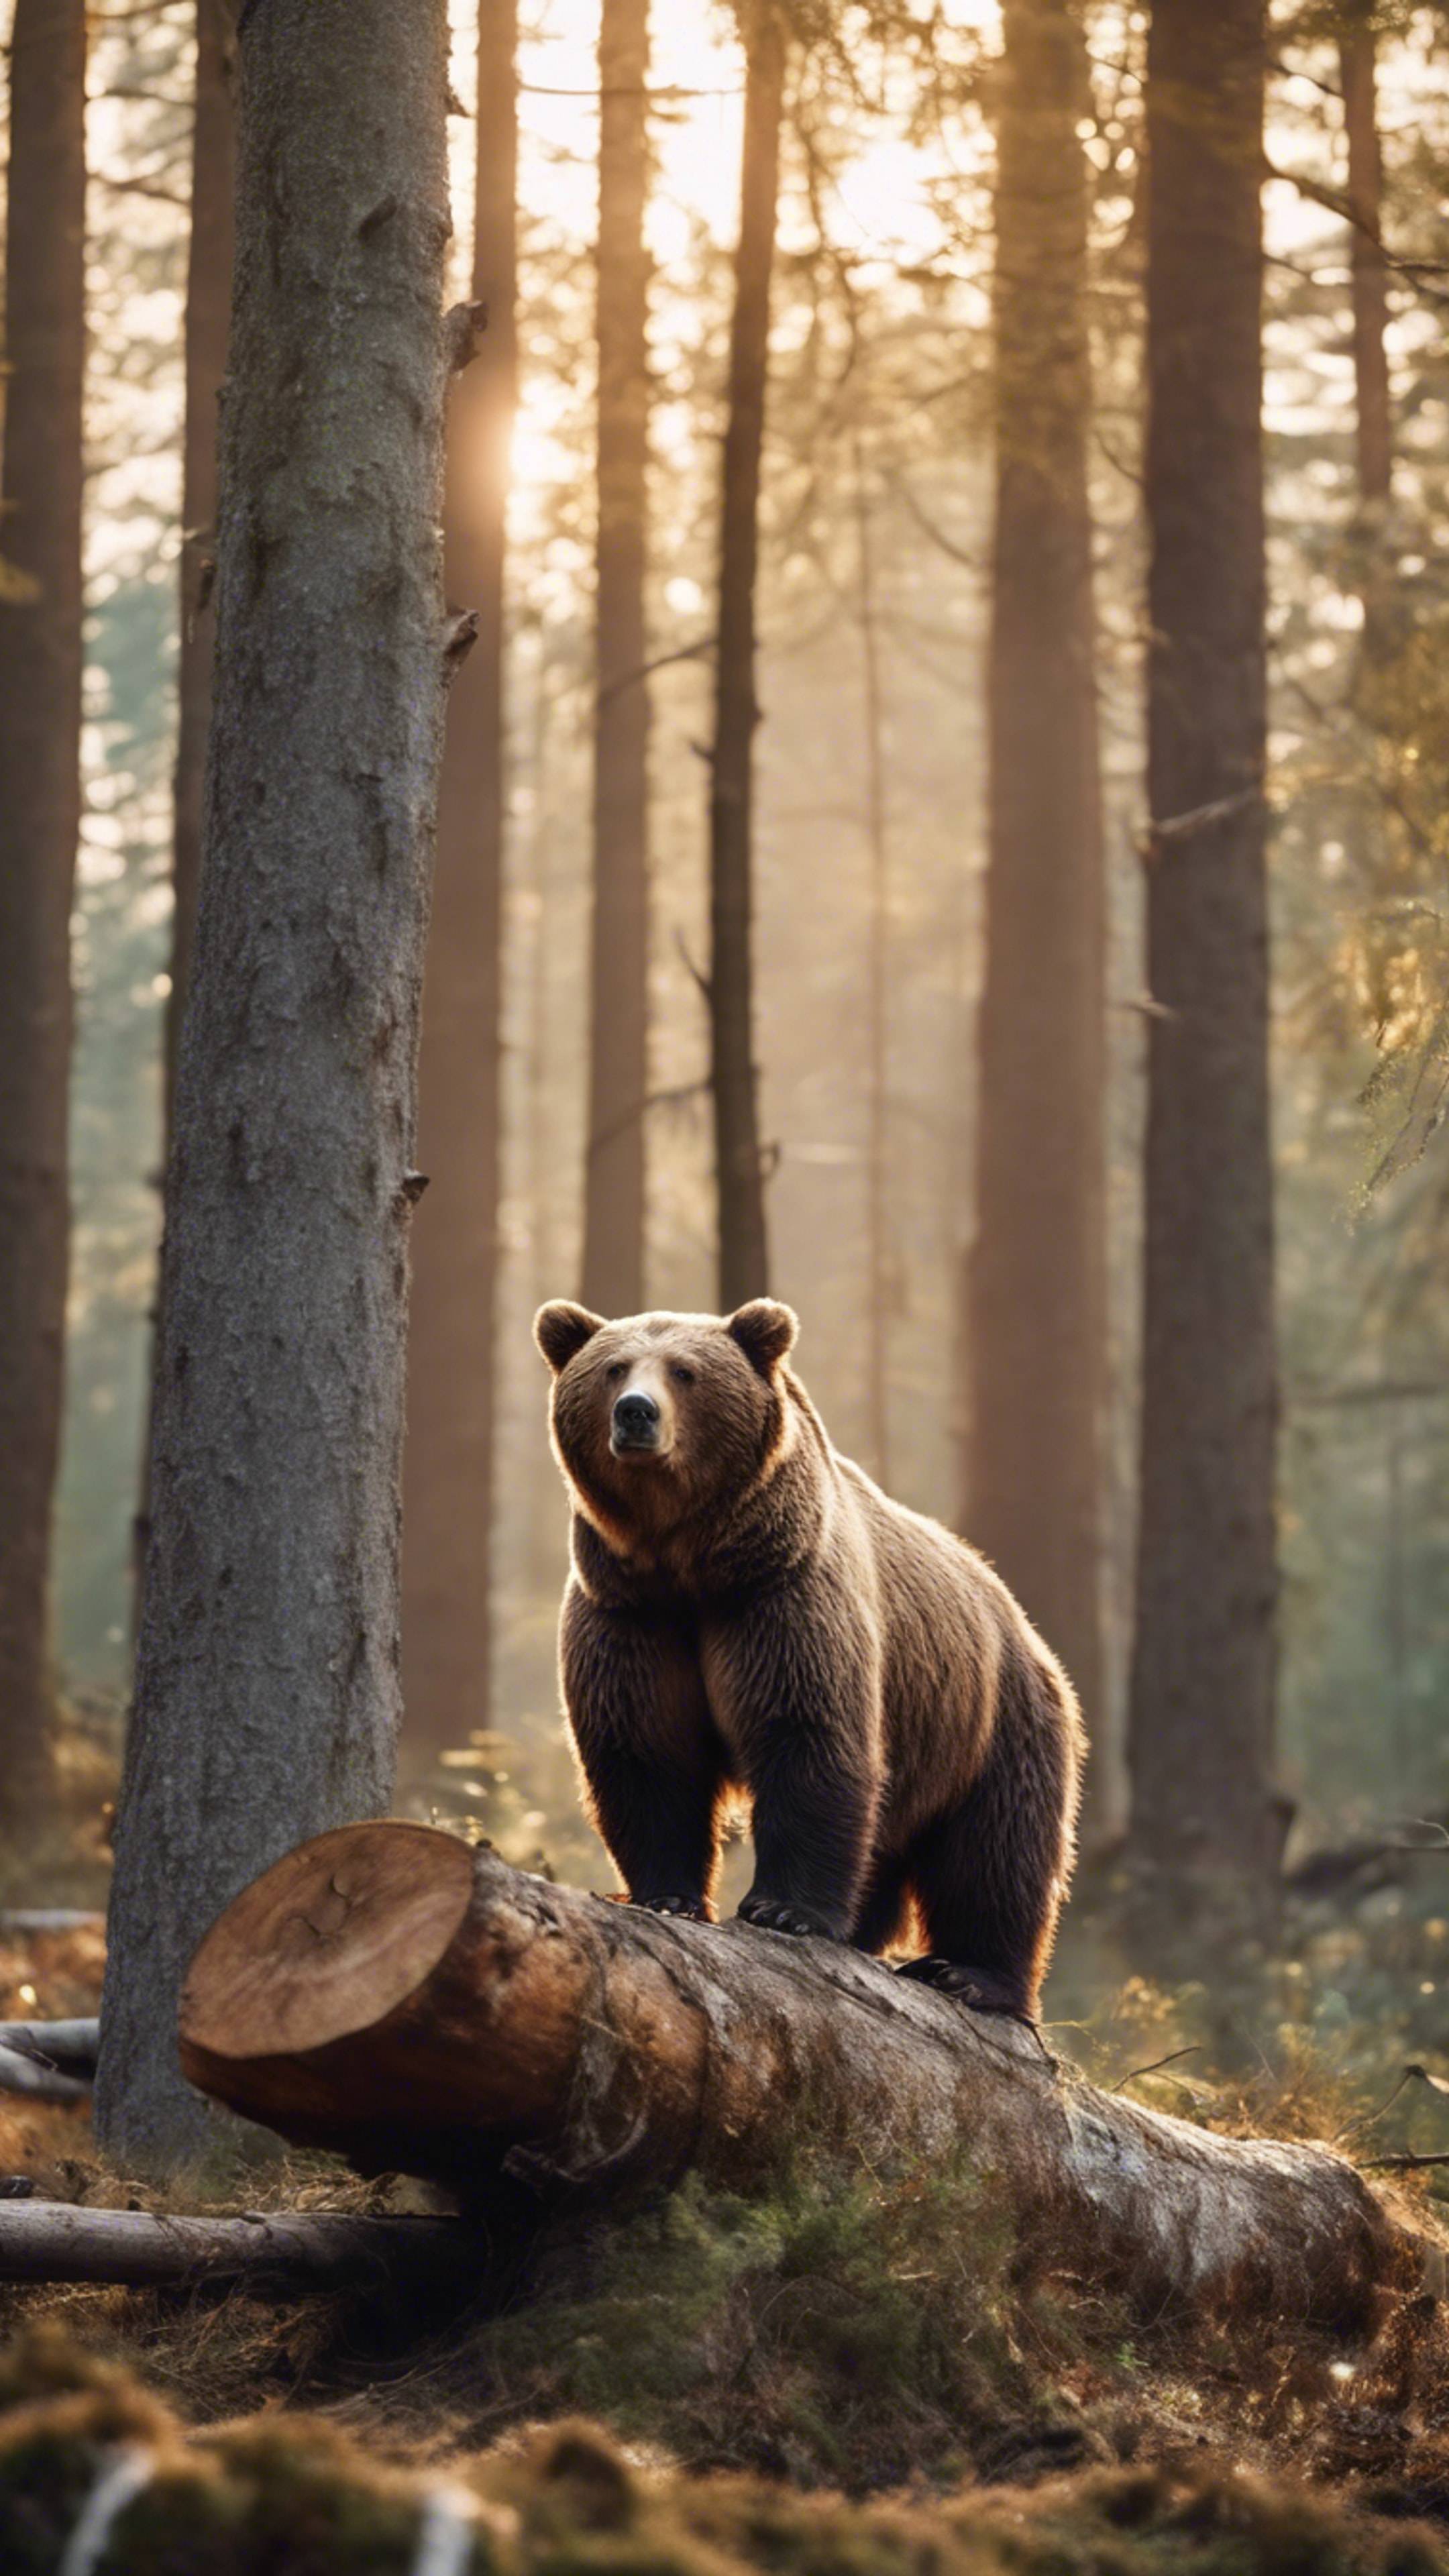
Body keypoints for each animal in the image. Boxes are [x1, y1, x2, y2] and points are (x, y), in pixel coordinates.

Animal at [536, 1298, 1077, 2019]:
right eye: (613, 1368)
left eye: (685, 1371)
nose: (636, 1413)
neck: (688, 1561)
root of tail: (1019, 1621)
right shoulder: (631, 1615)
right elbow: (646, 1754)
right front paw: (667, 1895)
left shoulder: (781, 1598)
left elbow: (806, 1735)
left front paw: (783, 1910)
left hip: (990, 1721)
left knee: (996, 1850)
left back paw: (971, 1974)